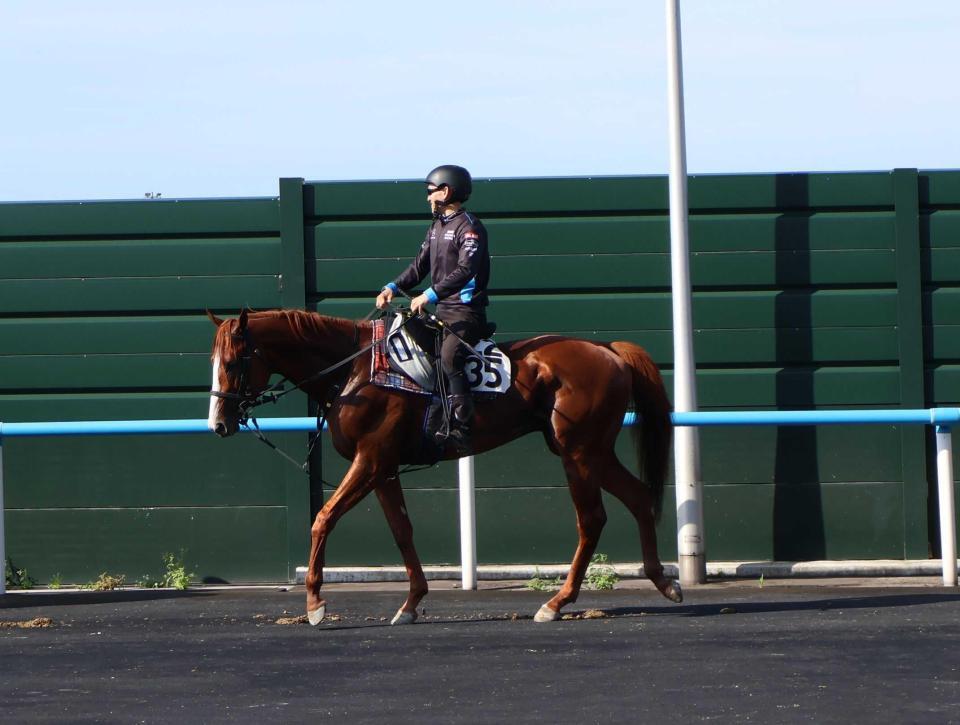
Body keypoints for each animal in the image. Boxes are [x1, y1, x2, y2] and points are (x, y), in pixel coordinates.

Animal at [208, 308, 684, 624]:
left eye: (231, 362)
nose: (219, 423)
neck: (355, 371)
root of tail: (608, 350)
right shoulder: (384, 467)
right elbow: (402, 530)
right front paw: (412, 601)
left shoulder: (369, 461)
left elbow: (323, 519)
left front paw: (314, 604)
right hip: (594, 451)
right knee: (638, 497)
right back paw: (663, 581)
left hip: (578, 453)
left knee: (592, 519)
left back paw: (557, 602)